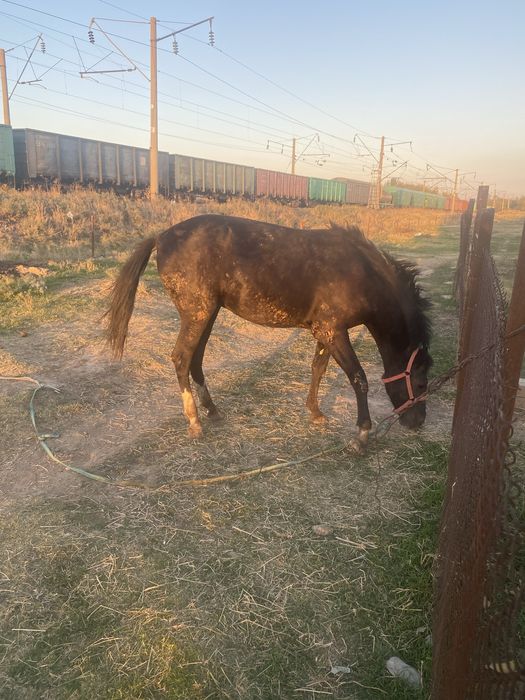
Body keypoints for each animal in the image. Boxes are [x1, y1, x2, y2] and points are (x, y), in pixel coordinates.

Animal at [105, 214, 432, 451]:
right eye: (420, 381)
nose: (418, 422)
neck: (360, 271)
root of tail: (162, 236)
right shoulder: (333, 331)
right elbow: (358, 378)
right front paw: (362, 434)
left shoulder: (324, 332)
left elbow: (318, 369)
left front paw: (315, 412)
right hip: (197, 313)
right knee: (181, 358)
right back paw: (194, 422)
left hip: (207, 314)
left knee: (195, 359)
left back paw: (212, 410)